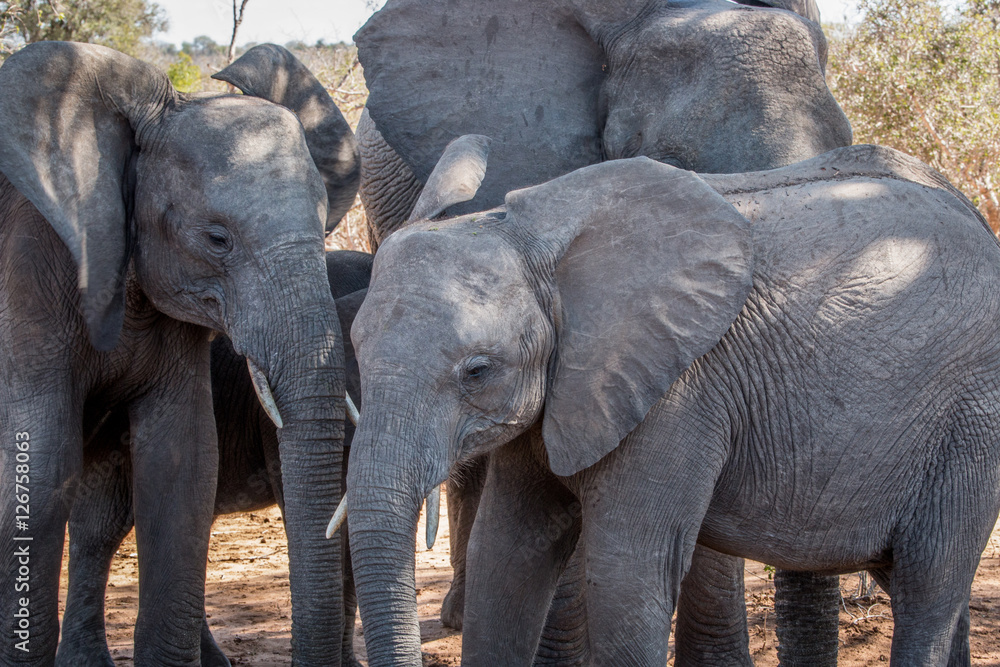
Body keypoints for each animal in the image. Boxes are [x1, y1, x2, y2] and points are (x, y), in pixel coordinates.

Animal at [341, 141, 1000, 666]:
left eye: (477, 372)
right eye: (356, 347)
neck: (528, 238)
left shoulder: (676, 394)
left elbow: (626, 579)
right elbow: (507, 556)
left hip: (972, 416)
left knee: (928, 581)